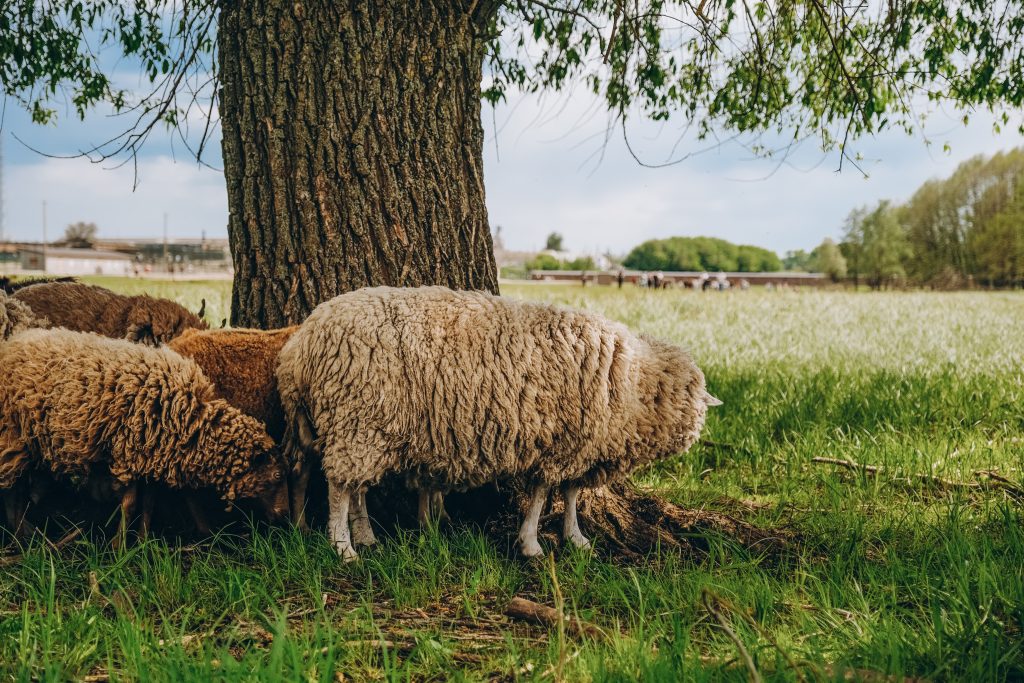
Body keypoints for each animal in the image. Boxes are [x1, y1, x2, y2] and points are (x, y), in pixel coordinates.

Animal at [0, 326, 290, 542]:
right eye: (277, 476)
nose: (283, 517)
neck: (191, 417)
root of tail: (12, 342)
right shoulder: (128, 453)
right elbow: (129, 504)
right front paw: (120, 547)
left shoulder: (150, 455)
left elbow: (147, 503)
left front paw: (142, 541)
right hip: (12, 436)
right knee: (12, 491)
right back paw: (24, 537)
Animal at [276, 286, 720, 560]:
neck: (633, 380)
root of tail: (301, 345)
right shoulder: (561, 444)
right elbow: (542, 496)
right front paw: (532, 545)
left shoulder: (577, 445)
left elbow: (571, 494)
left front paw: (575, 538)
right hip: (358, 418)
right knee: (339, 487)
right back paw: (343, 547)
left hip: (357, 425)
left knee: (340, 481)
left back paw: (344, 534)